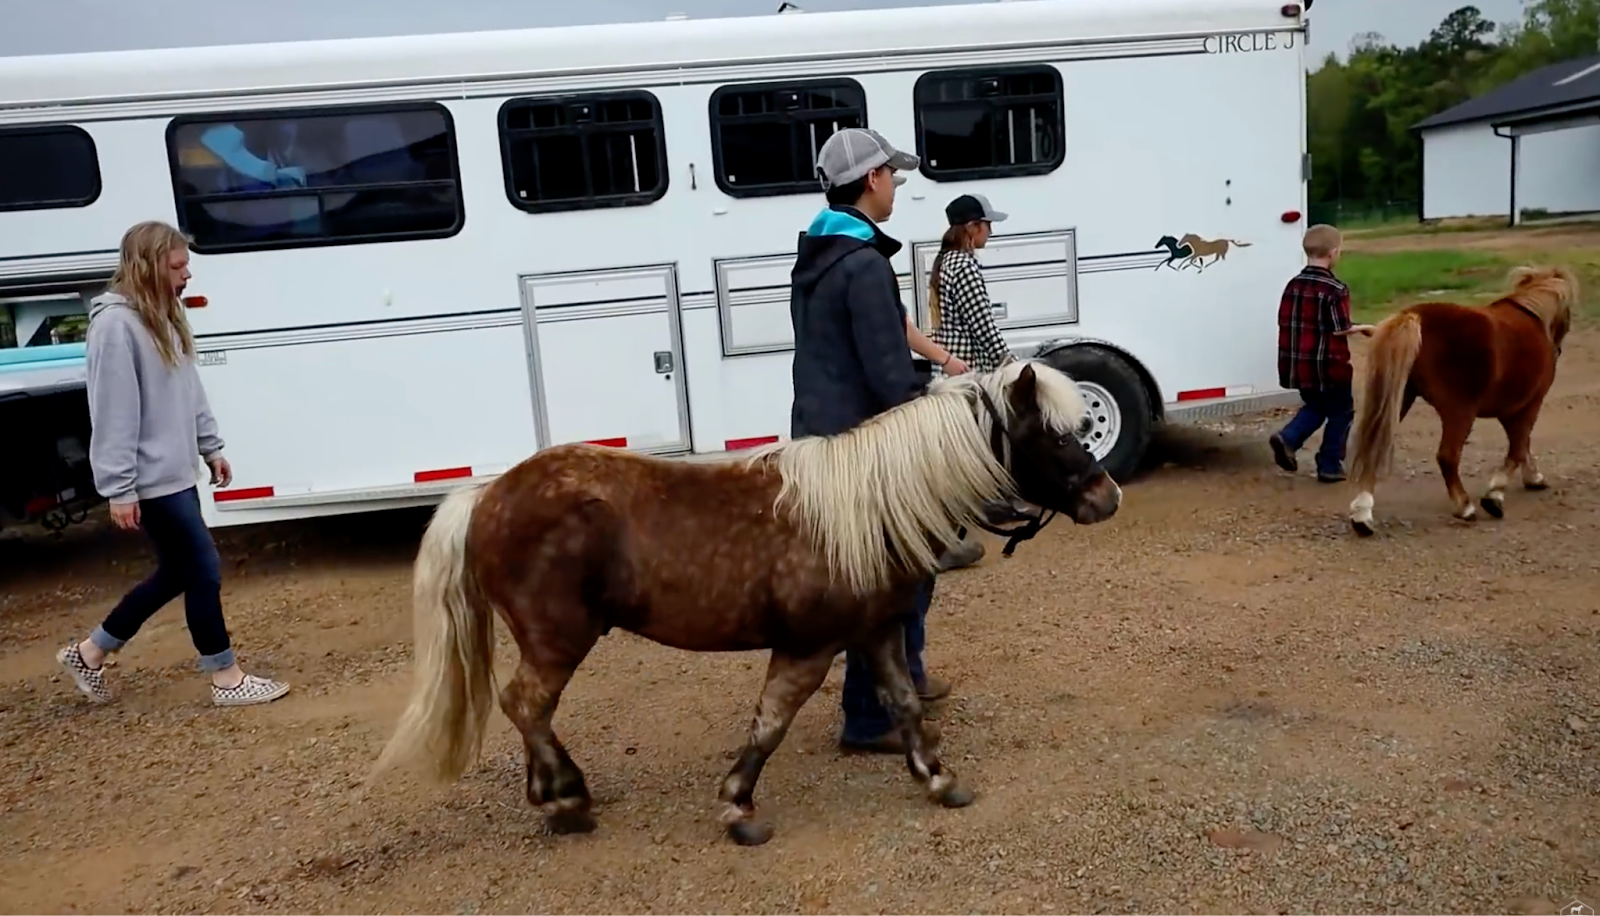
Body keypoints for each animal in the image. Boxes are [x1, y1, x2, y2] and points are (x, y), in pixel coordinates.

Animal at [371, 360, 1123, 846]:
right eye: (1054, 435)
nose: (1106, 496)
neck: (868, 509)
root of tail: (487, 495)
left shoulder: (876, 632)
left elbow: (905, 705)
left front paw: (938, 780)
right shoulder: (807, 648)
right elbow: (769, 725)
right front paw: (737, 808)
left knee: (532, 709)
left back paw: (553, 793)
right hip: (558, 638)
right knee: (525, 704)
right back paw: (567, 800)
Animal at [1347, 264, 1577, 536]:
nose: (1558, 349)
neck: (1533, 319)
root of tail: (1413, 317)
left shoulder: (1509, 409)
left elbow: (1522, 445)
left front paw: (1533, 478)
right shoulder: (1530, 404)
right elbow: (1518, 448)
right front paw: (1495, 495)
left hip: (1397, 402)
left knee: (1374, 448)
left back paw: (1362, 514)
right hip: (1459, 413)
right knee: (1447, 457)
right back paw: (1464, 506)